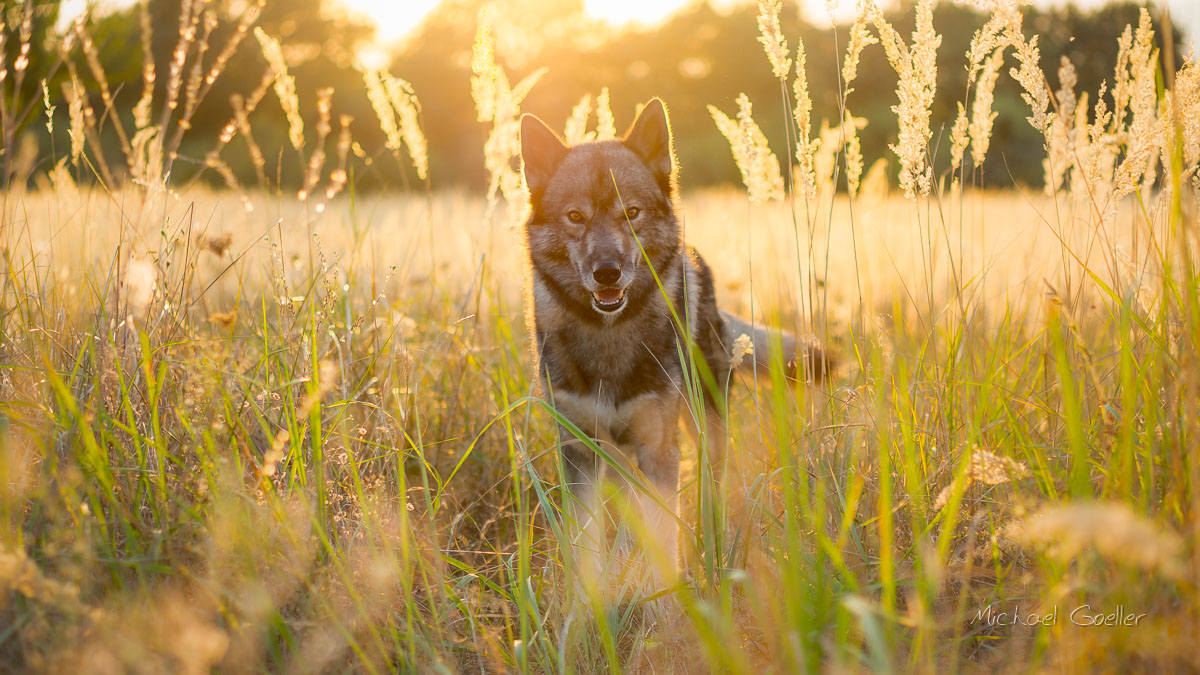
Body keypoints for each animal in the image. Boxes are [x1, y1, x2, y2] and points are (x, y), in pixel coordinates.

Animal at [516, 97, 825, 600]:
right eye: (575, 217)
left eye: (632, 212)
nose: (607, 272)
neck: (609, 335)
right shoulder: (580, 452)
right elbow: (586, 547)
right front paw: (588, 608)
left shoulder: (659, 448)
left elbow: (663, 542)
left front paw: (668, 605)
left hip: (704, 427)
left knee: (709, 493)